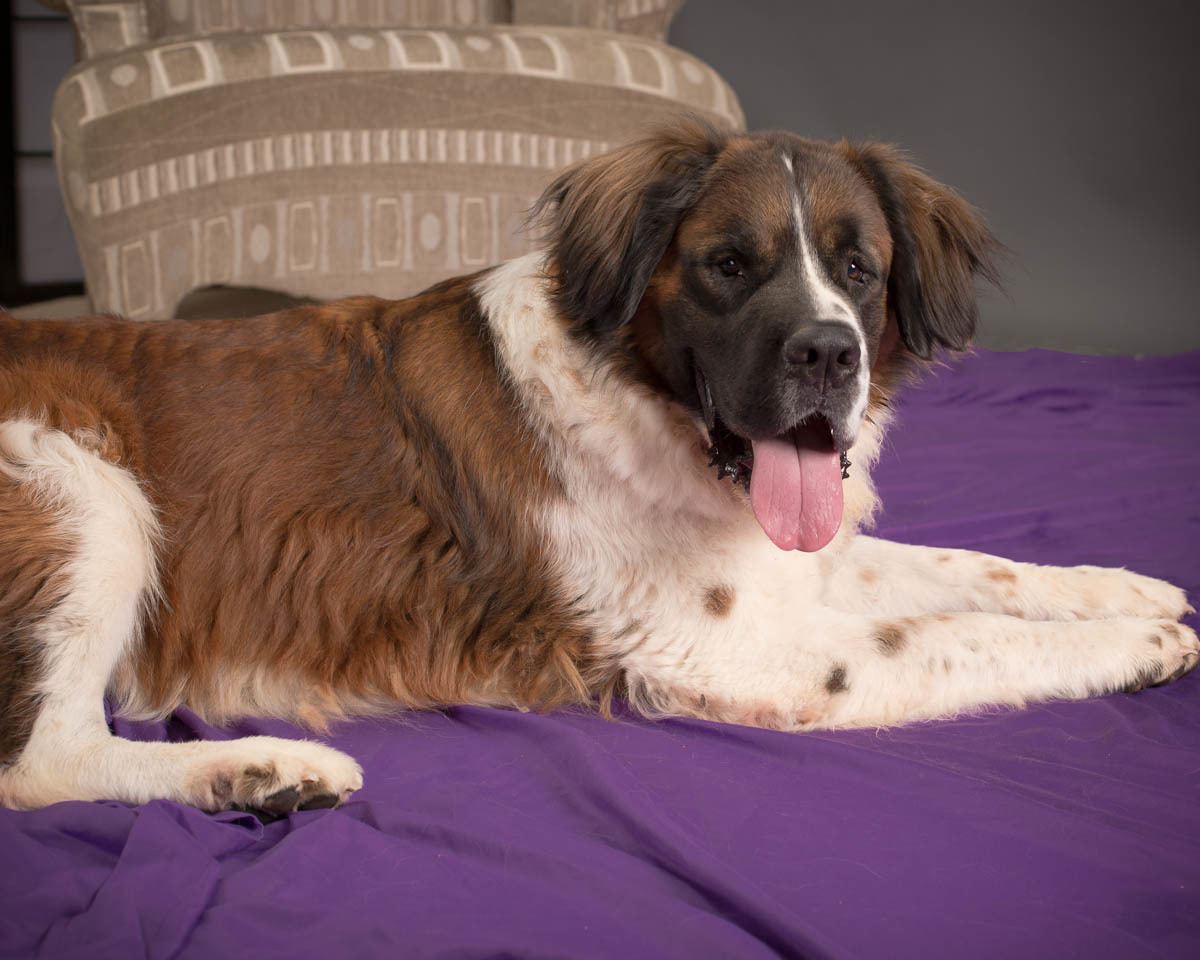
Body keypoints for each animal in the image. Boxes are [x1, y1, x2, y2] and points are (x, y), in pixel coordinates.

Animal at [0, 116, 1195, 816]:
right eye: (728, 266)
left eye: (859, 269)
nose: (827, 353)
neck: (643, 404)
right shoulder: (740, 657)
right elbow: (953, 633)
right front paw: (1137, 644)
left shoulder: (794, 572)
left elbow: (966, 568)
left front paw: (1124, 589)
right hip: (90, 495)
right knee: (39, 763)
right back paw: (258, 767)